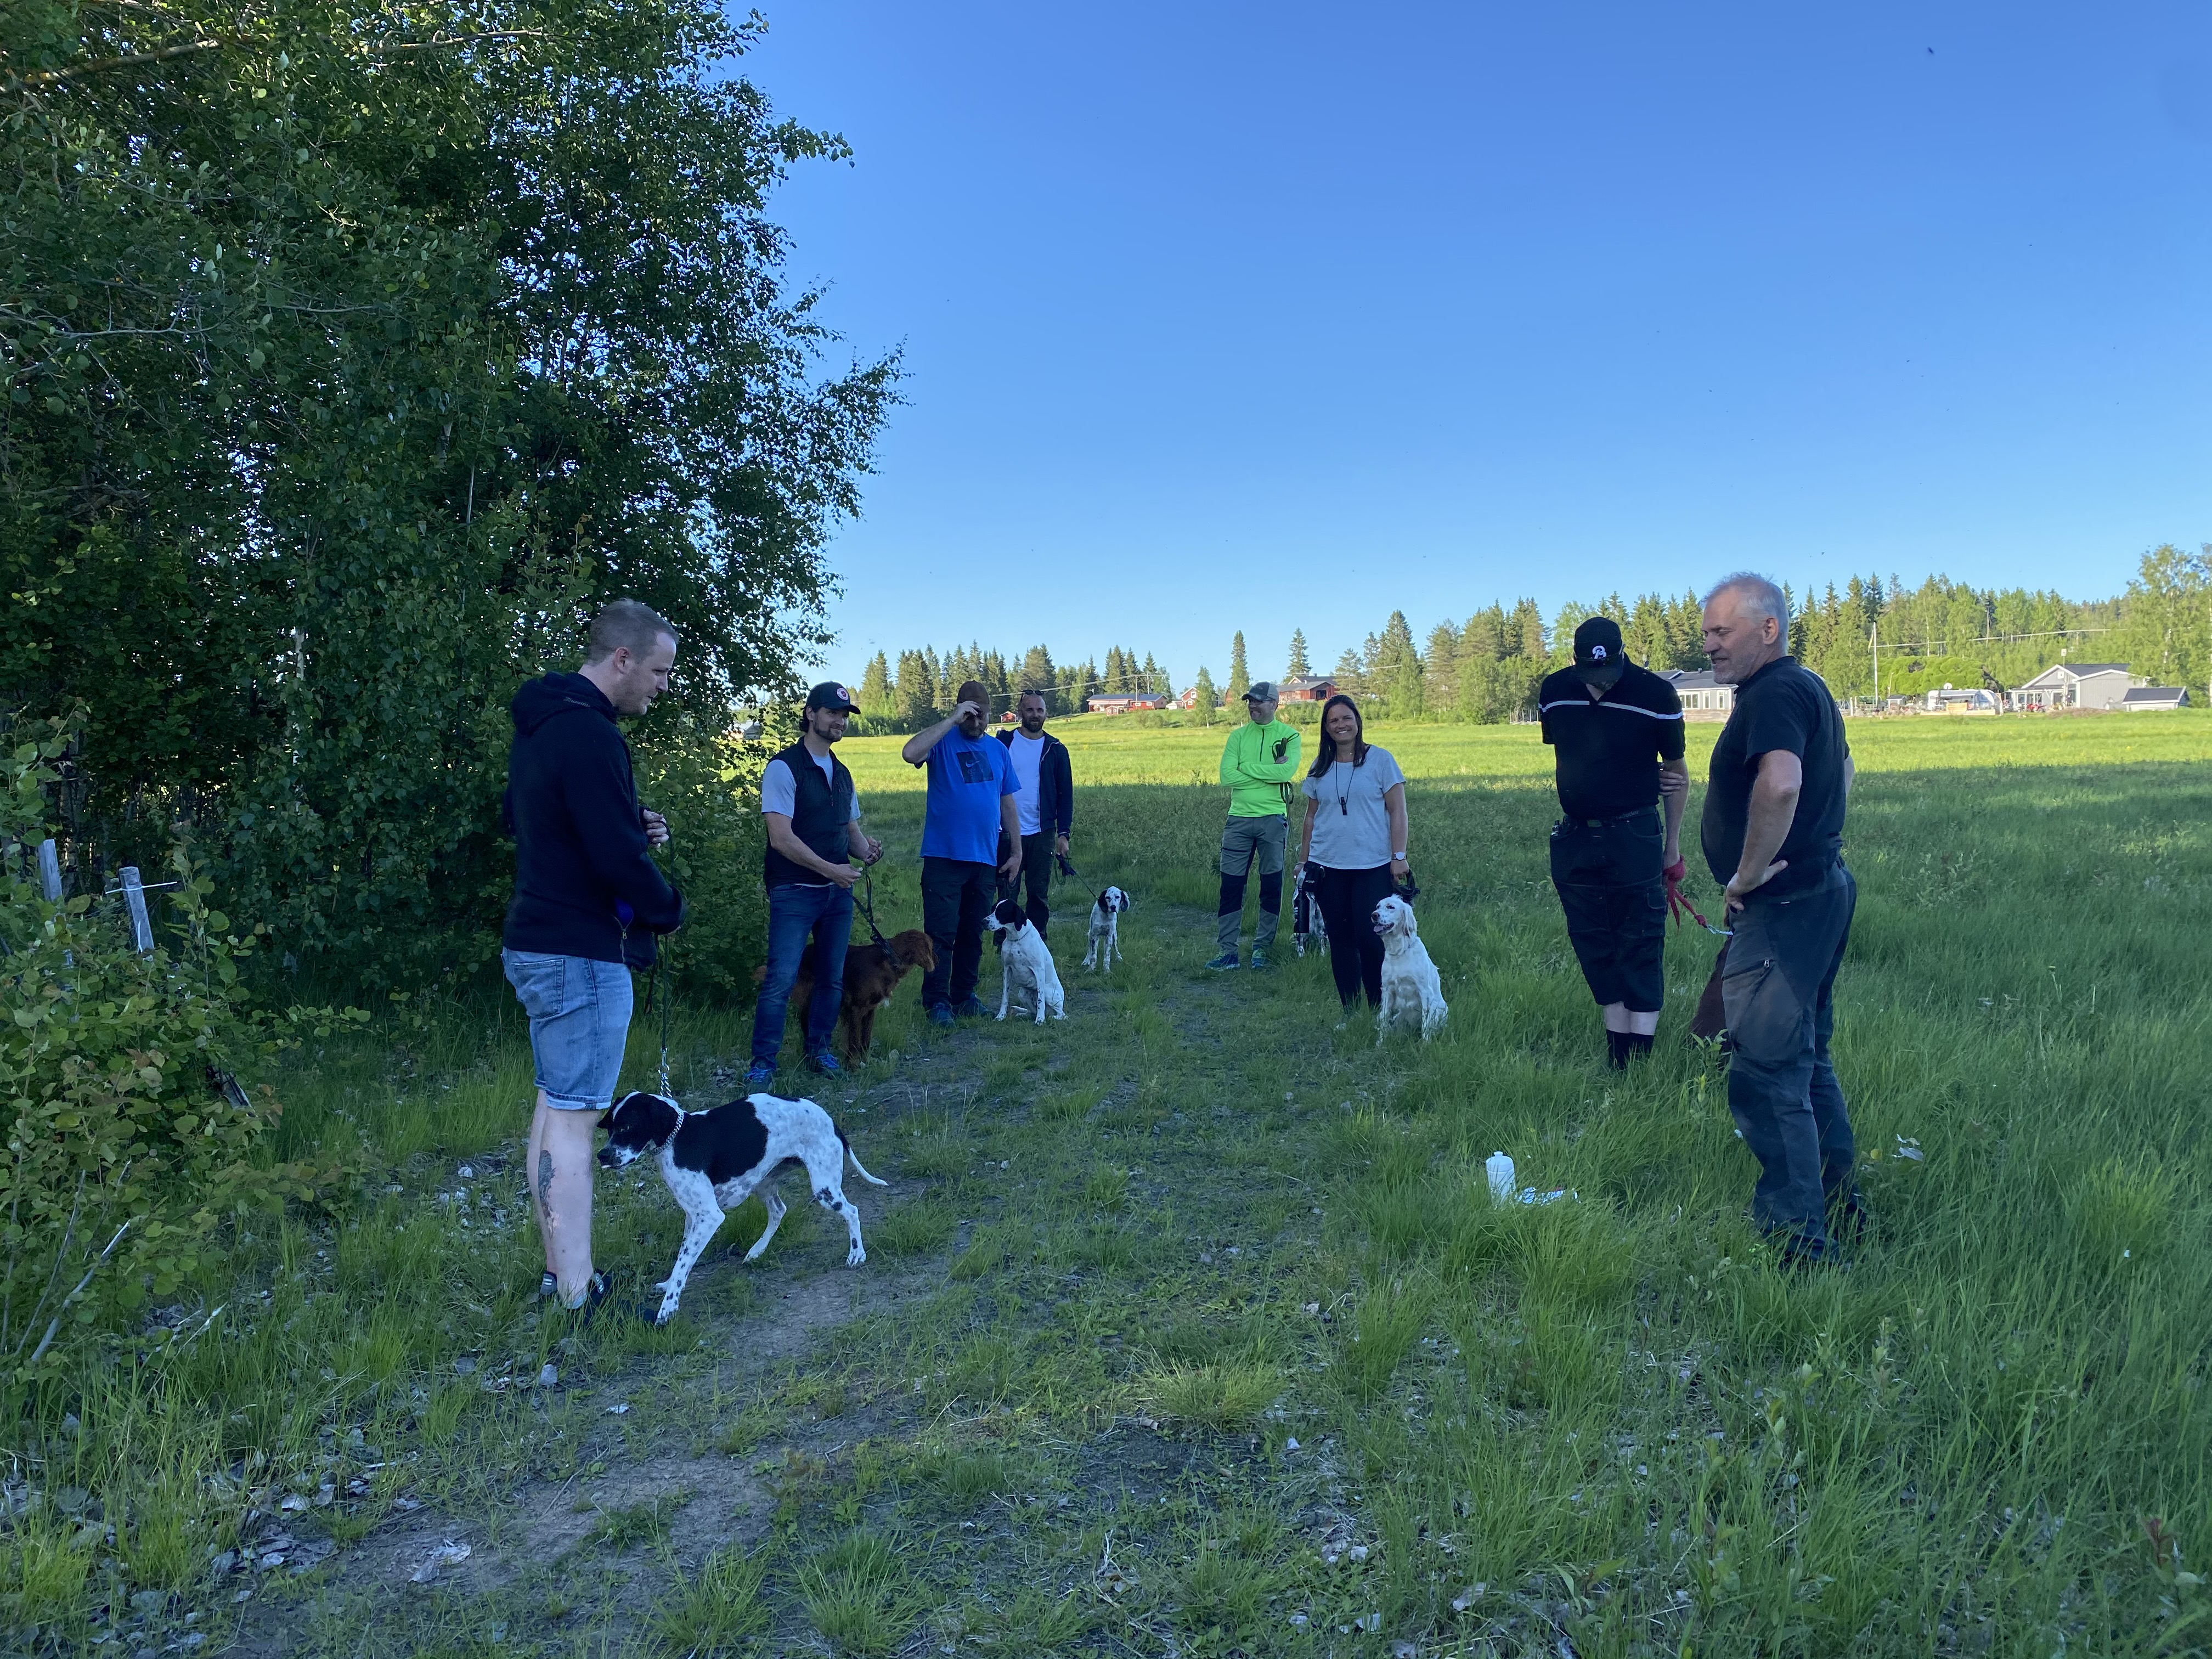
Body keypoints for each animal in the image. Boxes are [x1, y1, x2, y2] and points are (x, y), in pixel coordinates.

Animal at [606, 1092, 889, 1327]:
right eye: (609, 1128)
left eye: (626, 1127)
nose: (602, 1156)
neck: (678, 1139)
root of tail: (828, 1118)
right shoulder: (693, 1216)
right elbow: (681, 1260)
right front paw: (668, 1287)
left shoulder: (708, 1217)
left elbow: (682, 1264)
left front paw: (668, 1308)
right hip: (764, 1183)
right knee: (779, 1210)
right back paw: (757, 1250)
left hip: (825, 1190)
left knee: (852, 1211)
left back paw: (857, 1254)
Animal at [756, 929, 938, 1057]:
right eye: (931, 947)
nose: (938, 960)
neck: (888, 959)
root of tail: (805, 952)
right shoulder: (856, 1009)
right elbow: (854, 1042)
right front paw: (853, 1066)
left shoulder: (870, 1011)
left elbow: (865, 1041)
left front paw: (865, 1062)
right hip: (809, 1002)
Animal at [995, 898, 1070, 1026]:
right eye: (993, 909)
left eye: (1001, 911)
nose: (984, 921)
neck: (1016, 939)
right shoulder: (1007, 969)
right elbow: (1005, 996)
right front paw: (1001, 1016)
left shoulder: (1039, 970)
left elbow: (1041, 1001)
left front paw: (1040, 1020)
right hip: (1023, 993)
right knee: (1031, 1012)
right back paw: (1024, 1015)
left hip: (1049, 993)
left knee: (1062, 1014)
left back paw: (1050, 1017)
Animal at [1079, 884, 1132, 973]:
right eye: (1107, 897)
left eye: (1117, 897)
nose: (1113, 907)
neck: (1106, 916)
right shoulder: (1094, 935)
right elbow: (1093, 956)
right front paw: (1090, 969)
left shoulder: (1109, 936)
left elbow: (1107, 956)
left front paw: (1106, 971)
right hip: (1090, 935)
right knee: (1089, 949)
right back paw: (1086, 960)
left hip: (1114, 936)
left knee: (1116, 947)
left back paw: (1119, 958)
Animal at [1362, 898, 1451, 1040]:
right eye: (1378, 906)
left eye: (1391, 907)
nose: (1374, 915)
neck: (1399, 953)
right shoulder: (1387, 990)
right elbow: (1384, 1019)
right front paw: (1380, 1043)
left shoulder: (1425, 991)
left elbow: (1426, 1024)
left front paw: (1425, 1044)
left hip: (1441, 1009)